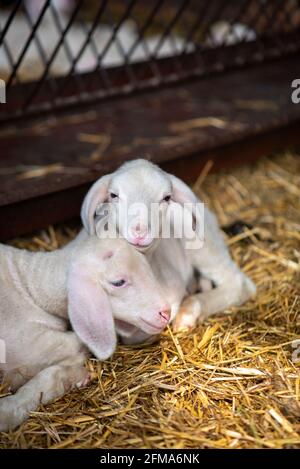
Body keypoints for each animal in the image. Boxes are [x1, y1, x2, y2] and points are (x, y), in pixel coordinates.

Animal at [0, 229, 169, 430]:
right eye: (118, 282)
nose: (166, 312)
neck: (29, 288)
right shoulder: (32, 344)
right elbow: (79, 350)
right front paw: (74, 375)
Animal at [80, 159, 255, 330]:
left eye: (167, 198)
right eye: (113, 195)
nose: (140, 231)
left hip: (204, 248)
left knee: (240, 284)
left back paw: (187, 315)